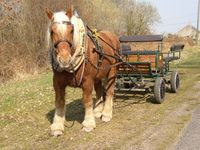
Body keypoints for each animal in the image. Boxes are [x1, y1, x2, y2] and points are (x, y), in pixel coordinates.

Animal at [45, 6, 120, 136]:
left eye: (71, 30)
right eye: (52, 31)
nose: (64, 59)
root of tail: (112, 36)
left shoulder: (87, 81)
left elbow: (87, 100)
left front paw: (88, 123)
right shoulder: (57, 82)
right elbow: (59, 102)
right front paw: (57, 126)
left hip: (112, 71)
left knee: (110, 91)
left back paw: (106, 113)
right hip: (98, 75)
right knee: (100, 91)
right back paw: (98, 111)